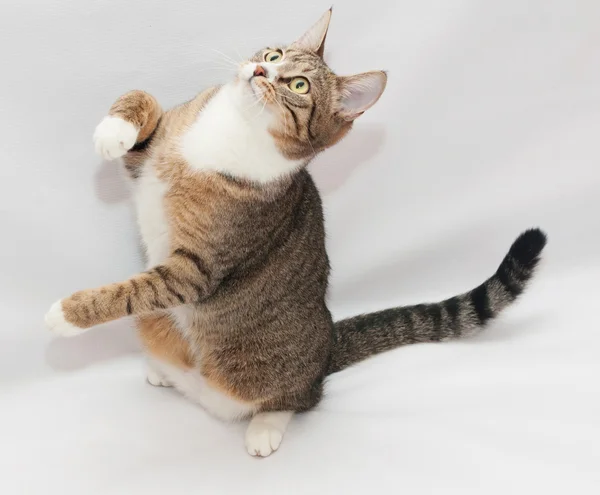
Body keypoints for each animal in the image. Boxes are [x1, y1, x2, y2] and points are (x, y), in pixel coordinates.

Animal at [44, 7, 548, 458]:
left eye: (299, 84)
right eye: (274, 53)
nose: (259, 68)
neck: (237, 127)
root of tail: (327, 347)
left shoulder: (197, 269)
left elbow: (133, 291)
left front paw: (66, 314)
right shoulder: (149, 159)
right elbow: (143, 97)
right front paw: (112, 130)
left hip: (265, 374)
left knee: (301, 397)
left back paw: (265, 426)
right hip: (158, 326)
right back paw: (166, 372)